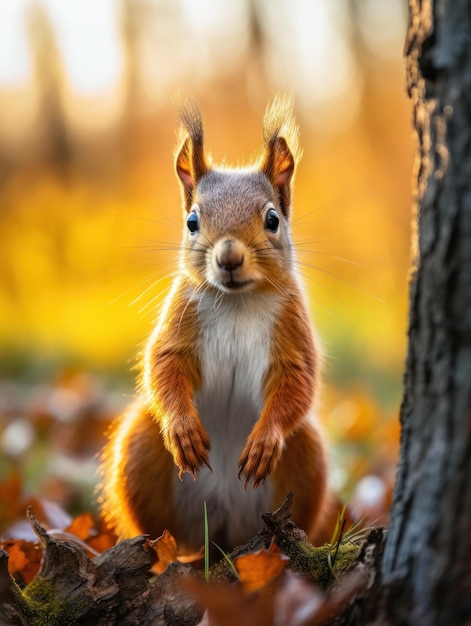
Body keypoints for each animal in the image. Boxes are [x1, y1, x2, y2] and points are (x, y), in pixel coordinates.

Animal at [99, 95, 328, 552]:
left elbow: (299, 381)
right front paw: (182, 430)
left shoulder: (293, 327)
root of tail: (221, 531)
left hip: (308, 457)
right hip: (140, 448)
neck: (238, 302)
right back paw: (163, 552)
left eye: (273, 219)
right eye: (192, 221)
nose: (228, 257)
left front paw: (264, 441)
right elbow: (163, 366)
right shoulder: (180, 317)